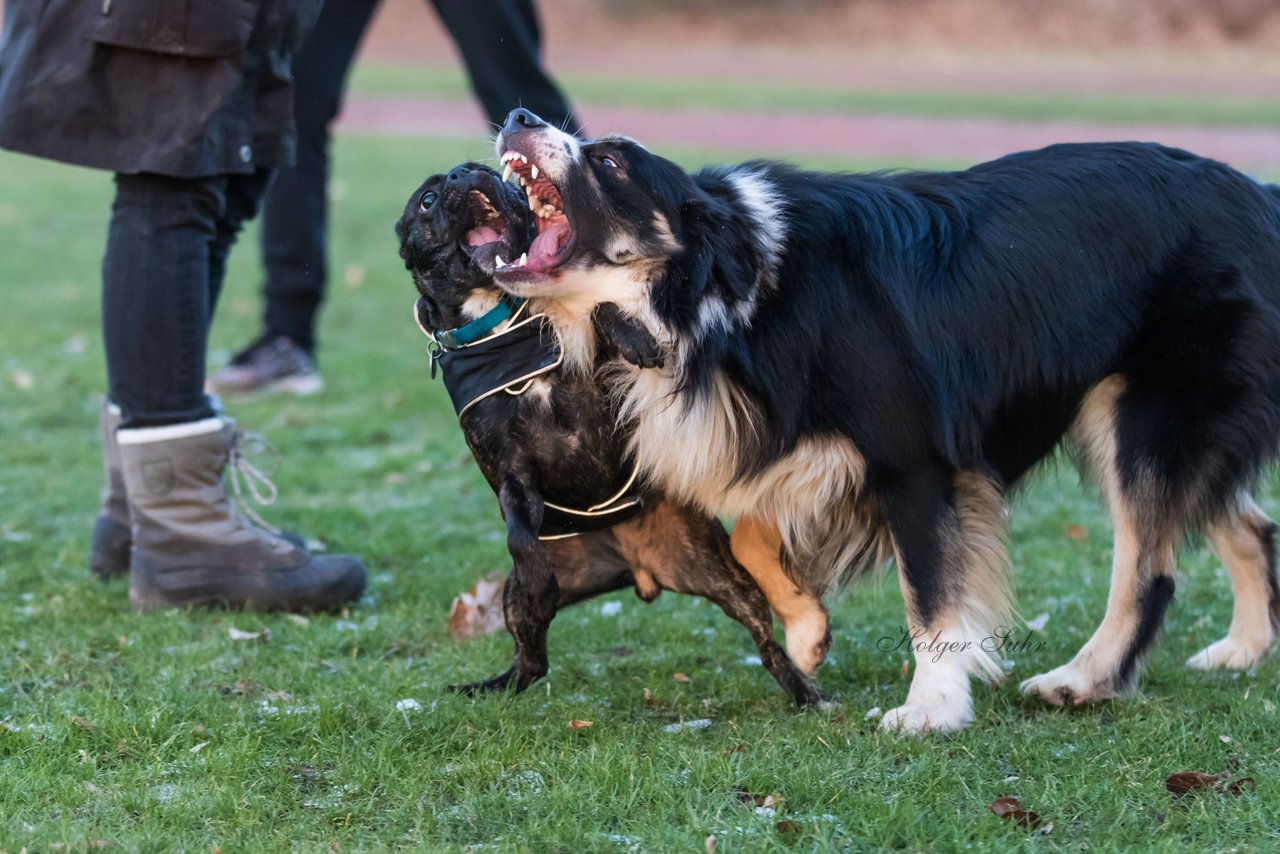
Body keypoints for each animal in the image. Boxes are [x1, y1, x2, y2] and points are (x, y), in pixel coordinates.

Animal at [391, 161, 829, 706]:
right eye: (427, 200)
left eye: (491, 173)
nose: (462, 172)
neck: (497, 323)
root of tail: (632, 566)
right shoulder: (509, 471)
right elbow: (518, 534)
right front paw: (535, 572)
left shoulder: (608, 376)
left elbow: (600, 312)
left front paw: (636, 338)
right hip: (515, 600)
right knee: (531, 660)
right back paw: (490, 684)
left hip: (725, 576)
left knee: (766, 641)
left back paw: (803, 689)